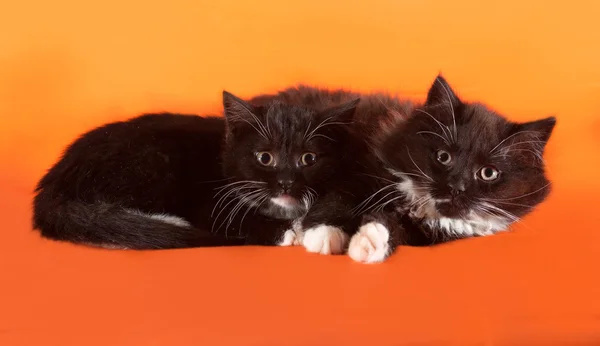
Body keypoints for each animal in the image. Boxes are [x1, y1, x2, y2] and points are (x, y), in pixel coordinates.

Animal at [32, 91, 366, 249]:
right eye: (264, 158)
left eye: (309, 159)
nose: (286, 182)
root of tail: (53, 183)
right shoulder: (212, 203)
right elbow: (230, 220)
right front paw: (289, 231)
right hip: (150, 162)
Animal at [246, 75, 556, 262]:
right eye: (444, 156)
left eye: (488, 173)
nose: (456, 187)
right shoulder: (355, 166)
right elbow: (339, 196)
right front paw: (324, 234)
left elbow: (394, 227)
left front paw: (368, 243)